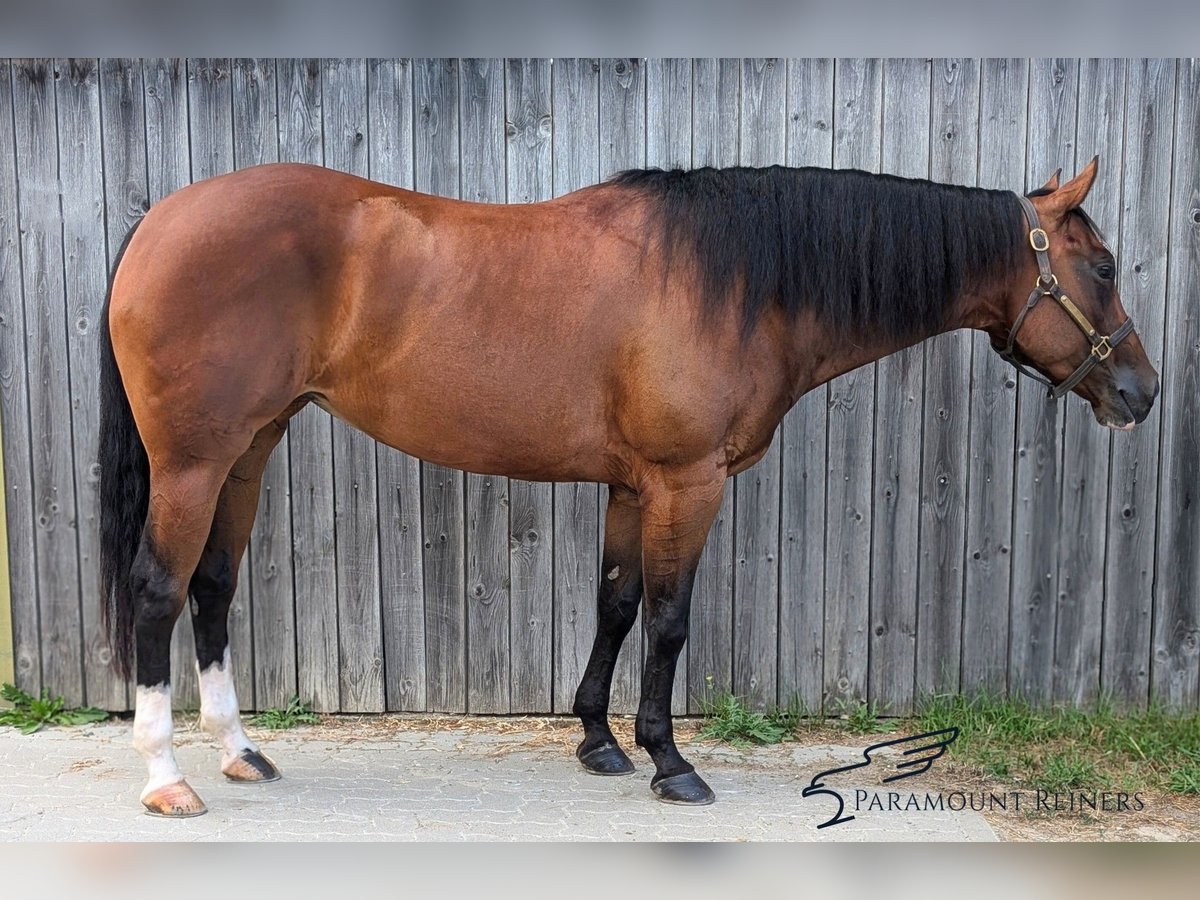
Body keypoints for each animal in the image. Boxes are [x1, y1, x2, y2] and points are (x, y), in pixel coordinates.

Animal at [100, 154, 1161, 816]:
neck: (739, 283)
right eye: (1103, 266)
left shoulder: (629, 486)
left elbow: (614, 606)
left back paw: (241, 754)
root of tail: (161, 219)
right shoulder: (688, 484)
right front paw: (670, 762)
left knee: (213, 588)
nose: (1141, 392)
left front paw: (599, 744)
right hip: (196, 460)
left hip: (250, 448)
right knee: (158, 590)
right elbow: (669, 620)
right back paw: (166, 778)